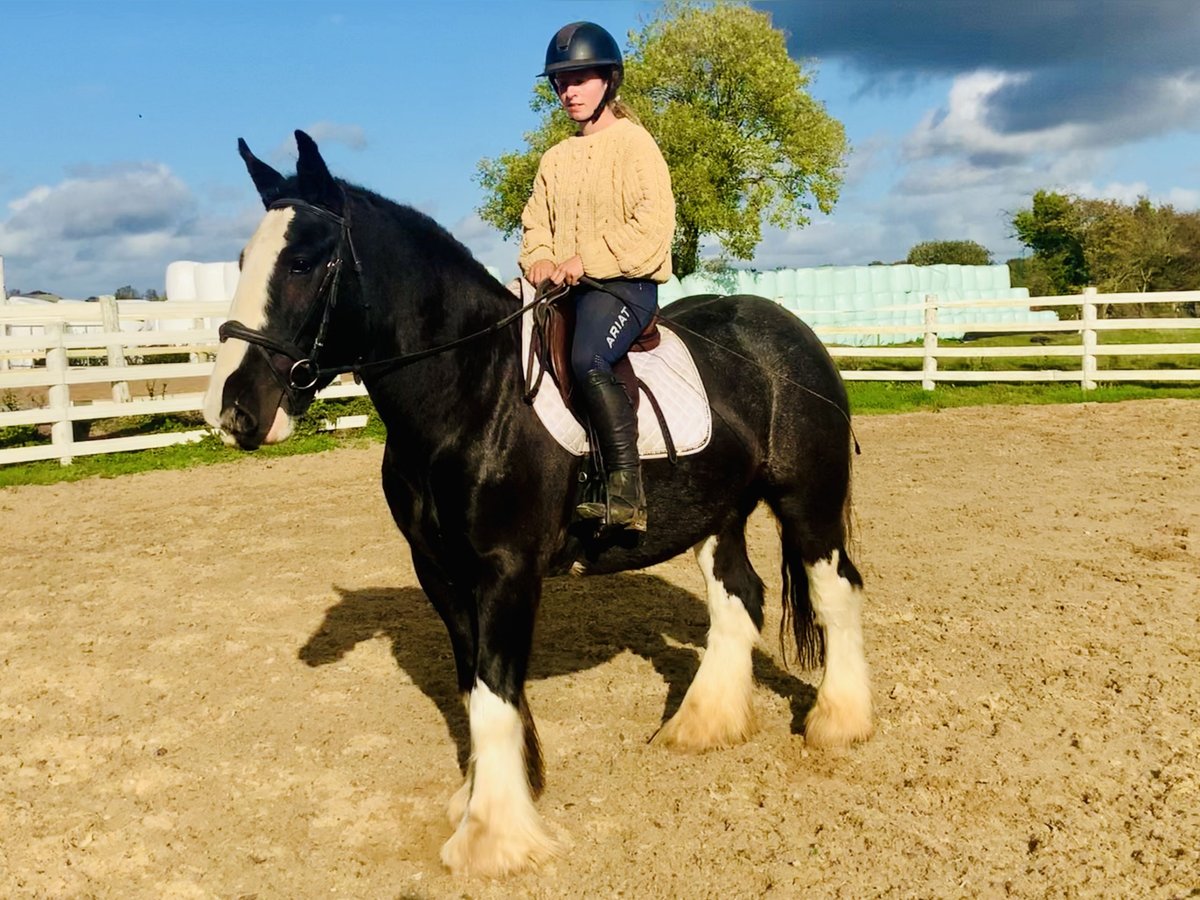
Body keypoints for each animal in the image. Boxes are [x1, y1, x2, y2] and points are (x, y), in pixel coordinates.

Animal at [206, 130, 873, 878]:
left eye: (301, 262)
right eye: (244, 261)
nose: (233, 411)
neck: (472, 393)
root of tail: (789, 331)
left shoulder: (506, 572)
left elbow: (496, 696)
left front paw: (493, 838)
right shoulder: (441, 574)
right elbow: (474, 691)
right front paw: (486, 798)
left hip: (808, 504)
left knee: (836, 589)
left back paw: (838, 722)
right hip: (719, 513)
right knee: (739, 596)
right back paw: (702, 725)